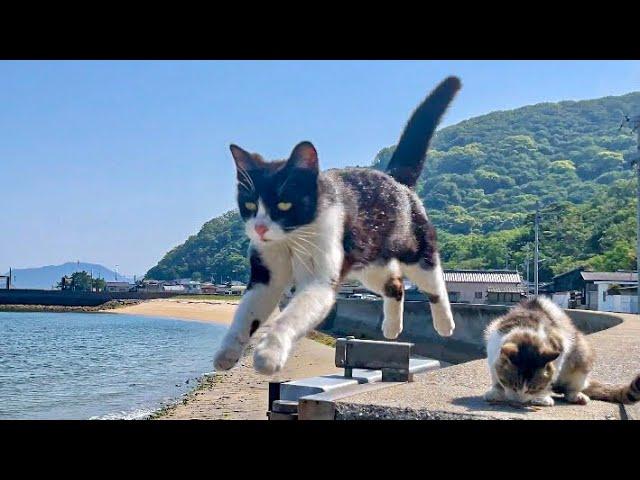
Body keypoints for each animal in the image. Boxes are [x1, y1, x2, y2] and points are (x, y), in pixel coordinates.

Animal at [214, 76, 460, 376]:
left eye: (284, 205)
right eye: (249, 205)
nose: (259, 228)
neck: (291, 239)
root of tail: (395, 179)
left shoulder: (321, 271)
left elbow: (291, 314)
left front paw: (268, 354)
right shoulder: (265, 270)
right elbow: (247, 311)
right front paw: (227, 352)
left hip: (411, 242)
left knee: (432, 275)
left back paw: (445, 323)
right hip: (368, 261)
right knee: (395, 284)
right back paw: (391, 328)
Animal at [484, 298, 640, 406]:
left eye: (533, 388)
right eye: (513, 385)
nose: (520, 401)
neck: (527, 332)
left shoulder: (560, 349)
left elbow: (550, 379)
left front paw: (541, 397)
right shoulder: (493, 345)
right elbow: (495, 376)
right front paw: (496, 391)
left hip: (581, 355)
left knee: (571, 388)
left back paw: (577, 396)